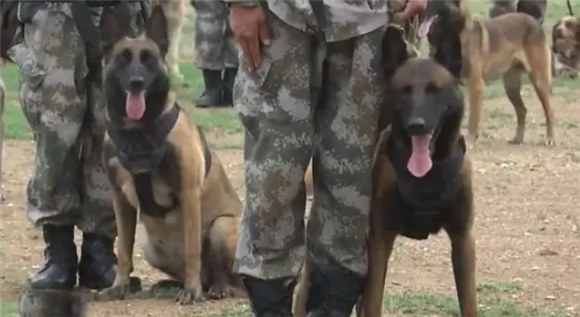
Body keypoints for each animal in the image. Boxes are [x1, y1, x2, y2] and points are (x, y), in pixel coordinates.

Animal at [95, 4, 245, 302]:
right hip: (152, 251)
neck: (138, 133)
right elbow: (124, 251)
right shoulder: (121, 200)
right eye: (123, 59)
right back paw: (172, 284)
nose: (137, 82)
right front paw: (119, 286)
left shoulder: (189, 192)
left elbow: (192, 251)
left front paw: (191, 291)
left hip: (221, 227)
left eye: (149, 59)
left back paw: (218, 288)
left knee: (233, 280)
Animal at [362, 15, 476, 317]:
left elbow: (469, 304)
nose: (417, 125)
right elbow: (372, 302)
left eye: (435, 90)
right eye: (404, 91)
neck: (429, 174)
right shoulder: (379, 242)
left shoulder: (463, 240)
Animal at [422, 0, 552, 146]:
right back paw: (518, 138)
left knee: (549, 110)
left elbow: (472, 119)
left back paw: (550, 138)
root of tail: (534, 21)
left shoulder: (476, 86)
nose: (420, 8)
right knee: (522, 110)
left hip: (539, 80)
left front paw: (470, 141)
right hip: (511, 86)